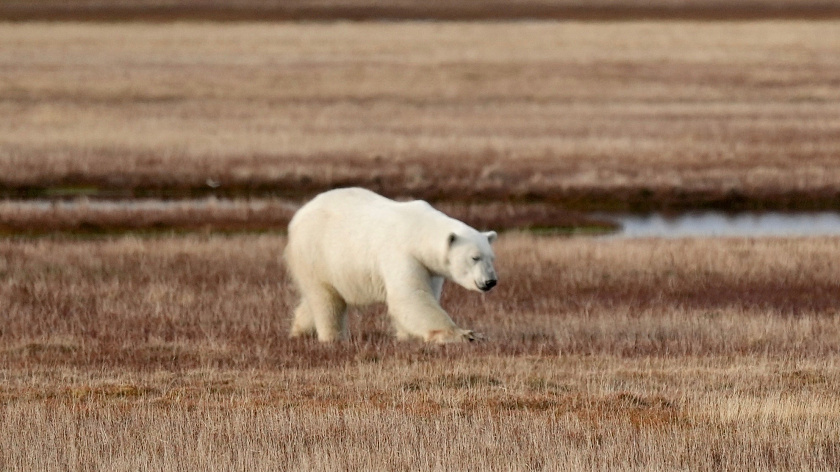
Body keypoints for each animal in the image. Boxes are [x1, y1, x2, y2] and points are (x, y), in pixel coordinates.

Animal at [288, 187, 498, 342]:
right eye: (475, 257)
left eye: (491, 257)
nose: (490, 281)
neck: (419, 231)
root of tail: (298, 216)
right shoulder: (401, 253)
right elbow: (410, 295)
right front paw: (465, 335)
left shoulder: (429, 267)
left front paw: (406, 336)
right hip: (315, 253)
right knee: (326, 300)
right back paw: (333, 338)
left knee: (315, 298)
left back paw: (299, 331)